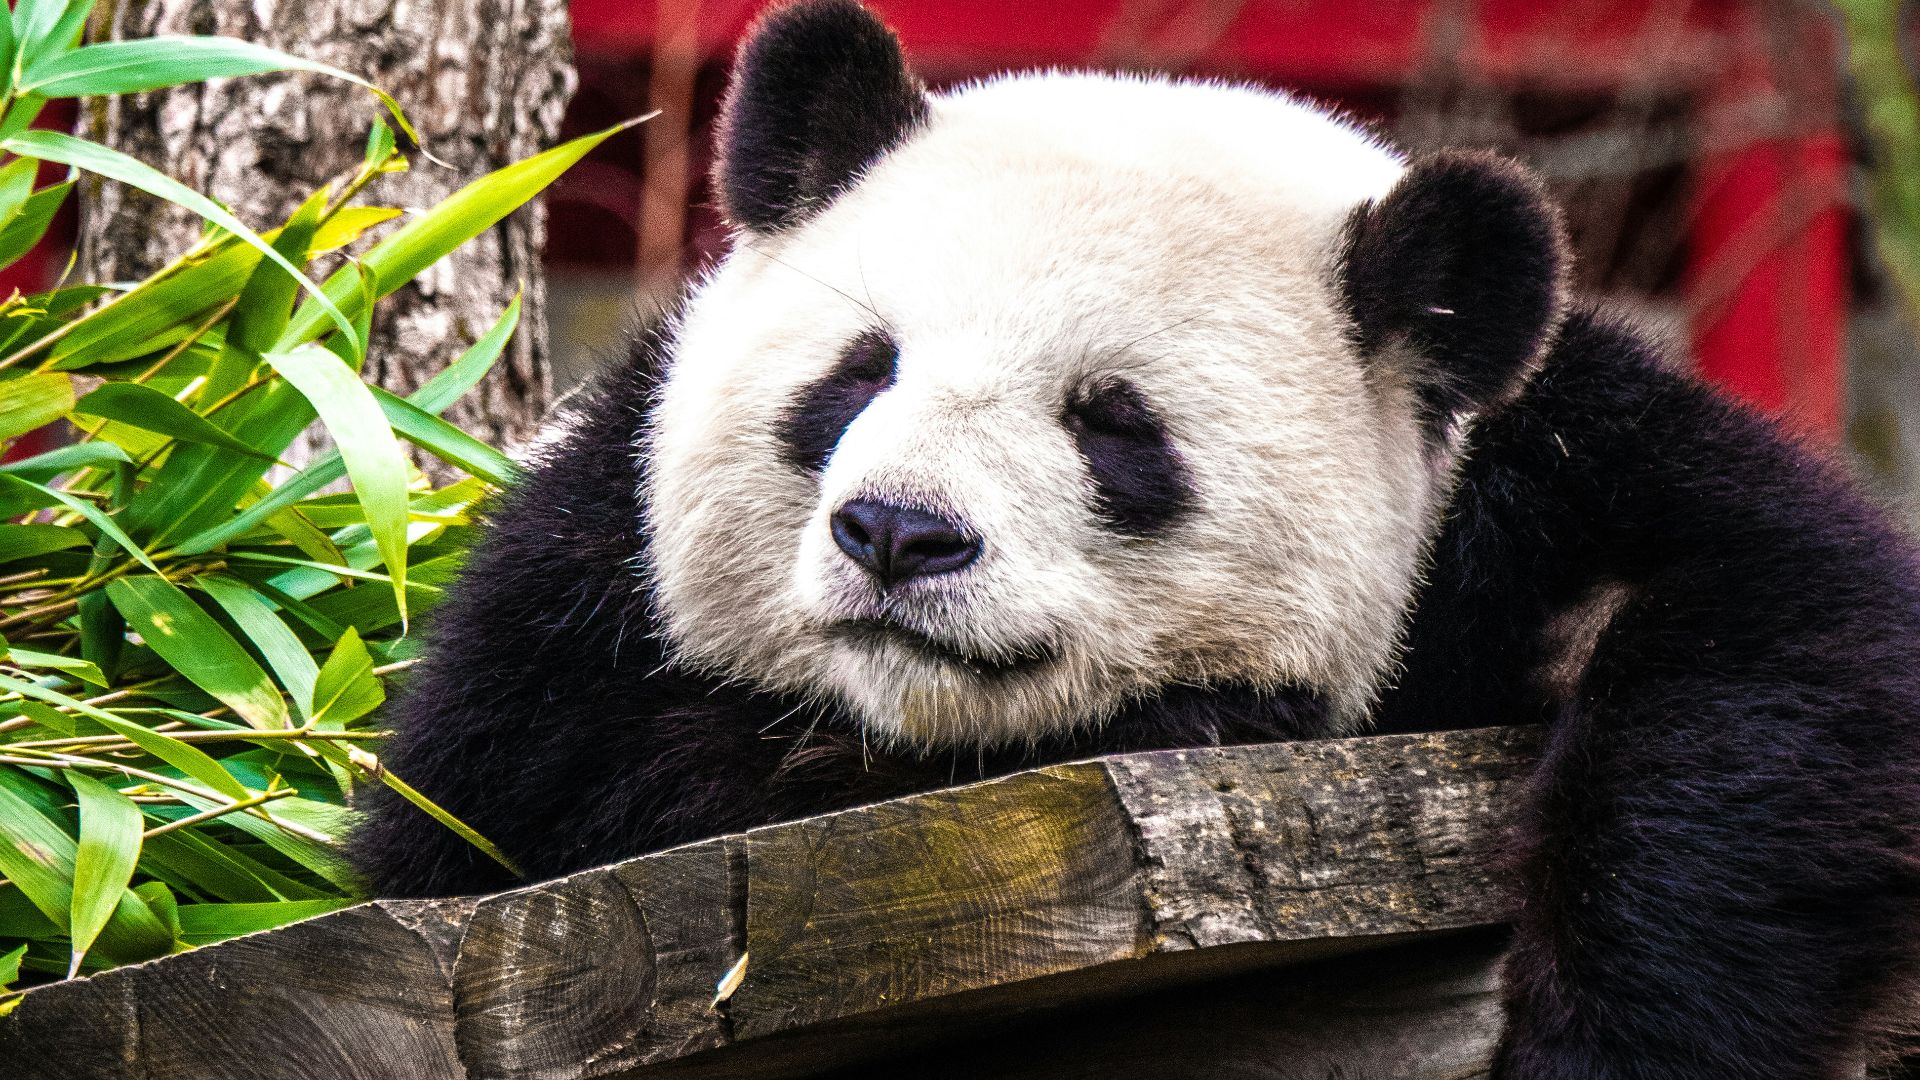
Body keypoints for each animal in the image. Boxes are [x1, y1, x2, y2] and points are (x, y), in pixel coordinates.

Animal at [350, 1, 1920, 1075]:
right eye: (860, 372)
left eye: (1114, 425)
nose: (897, 535)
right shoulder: (574, 577)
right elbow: (514, 798)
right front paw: (1208, 715)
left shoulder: (1542, 470)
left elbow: (1787, 644)